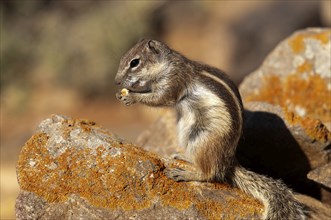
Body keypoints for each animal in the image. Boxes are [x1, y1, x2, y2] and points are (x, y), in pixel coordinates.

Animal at [115, 38, 308, 219]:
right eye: (123, 58)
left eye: (134, 62)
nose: (116, 81)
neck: (166, 64)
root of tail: (228, 160)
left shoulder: (173, 82)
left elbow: (161, 99)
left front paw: (132, 97)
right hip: (186, 133)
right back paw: (184, 157)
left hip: (202, 139)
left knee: (210, 173)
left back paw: (185, 174)